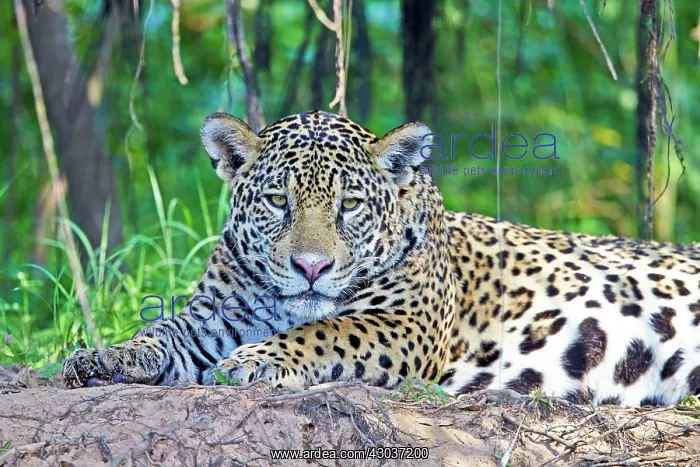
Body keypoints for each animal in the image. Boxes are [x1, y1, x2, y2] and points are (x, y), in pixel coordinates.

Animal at [62, 110, 700, 406]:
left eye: (349, 205)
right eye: (277, 201)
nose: (311, 268)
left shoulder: (405, 324)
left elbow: (325, 330)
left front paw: (258, 361)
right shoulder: (213, 318)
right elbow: (160, 333)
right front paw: (101, 357)